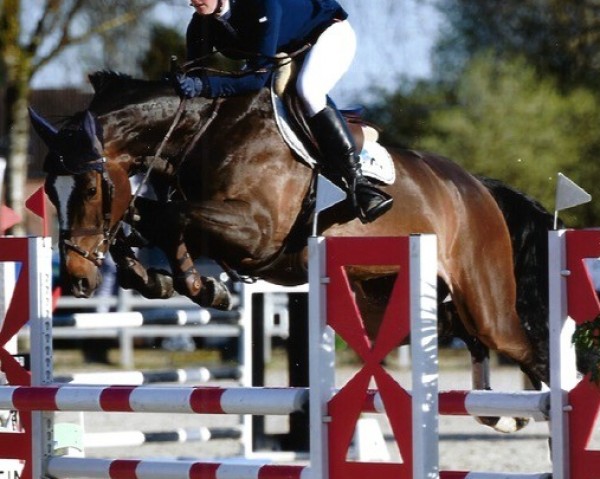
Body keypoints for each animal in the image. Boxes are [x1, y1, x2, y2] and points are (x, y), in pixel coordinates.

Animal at [31, 72, 548, 436]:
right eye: (50, 193)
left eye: (90, 188)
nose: (77, 280)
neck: (198, 135)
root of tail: (477, 186)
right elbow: (149, 220)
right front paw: (166, 280)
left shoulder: (256, 233)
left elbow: (171, 217)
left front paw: (201, 286)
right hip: (406, 300)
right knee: (474, 344)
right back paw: (504, 416)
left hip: (484, 299)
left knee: (524, 347)